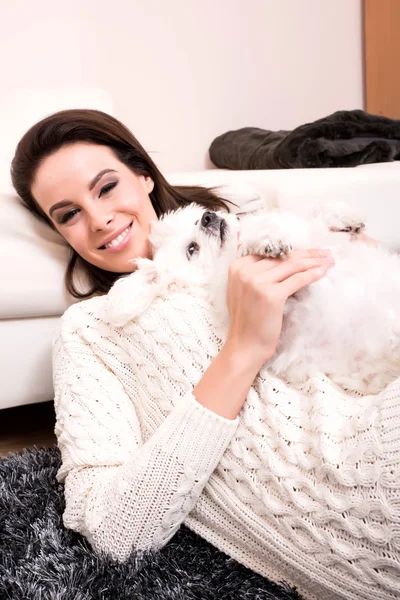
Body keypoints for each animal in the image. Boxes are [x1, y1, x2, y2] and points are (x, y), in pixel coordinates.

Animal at [105, 204, 400, 396]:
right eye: (192, 249)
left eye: (195, 222)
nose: (208, 217)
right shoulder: (283, 322)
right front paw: (265, 242)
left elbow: (314, 218)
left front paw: (346, 219)